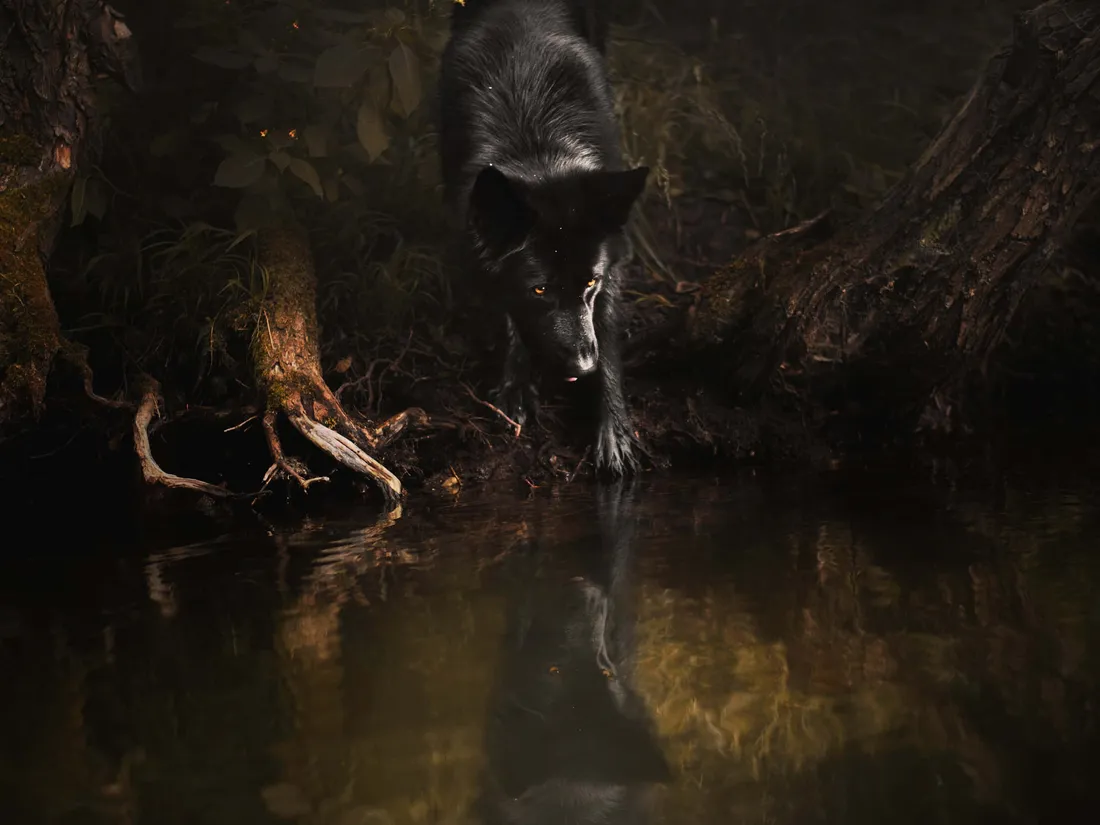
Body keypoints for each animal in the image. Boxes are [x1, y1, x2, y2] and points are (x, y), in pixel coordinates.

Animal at [438, 0, 650, 477]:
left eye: (589, 283)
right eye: (539, 289)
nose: (583, 367)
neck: (536, 145)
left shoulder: (612, 263)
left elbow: (607, 330)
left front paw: (614, 428)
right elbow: (508, 316)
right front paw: (515, 387)